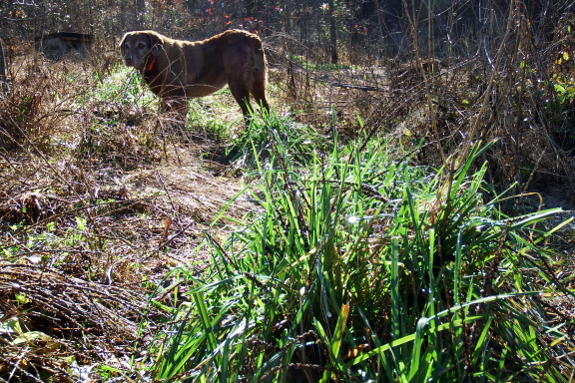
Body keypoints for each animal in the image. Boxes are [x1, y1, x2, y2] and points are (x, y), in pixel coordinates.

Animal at [120, 30, 272, 122]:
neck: (156, 58)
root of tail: (251, 38)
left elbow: (178, 120)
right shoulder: (167, 97)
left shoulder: (179, 97)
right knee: (265, 106)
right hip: (258, 84)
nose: (128, 58)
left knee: (248, 112)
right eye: (126, 46)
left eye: (141, 45)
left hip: (237, 85)